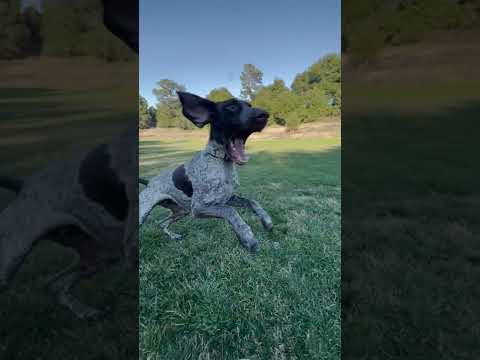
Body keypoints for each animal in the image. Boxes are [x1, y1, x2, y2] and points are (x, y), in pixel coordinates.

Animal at [141, 91, 272, 252]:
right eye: (231, 107)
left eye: (249, 105)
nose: (264, 114)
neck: (222, 163)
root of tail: (149, 182)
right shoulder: (199, 208)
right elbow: (230, 211)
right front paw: (247, 237)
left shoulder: (227, 198)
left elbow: (252, 202)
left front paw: (266, 220)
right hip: (145, 212)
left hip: (181, 211)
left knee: (161, 223)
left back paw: (173, 236)